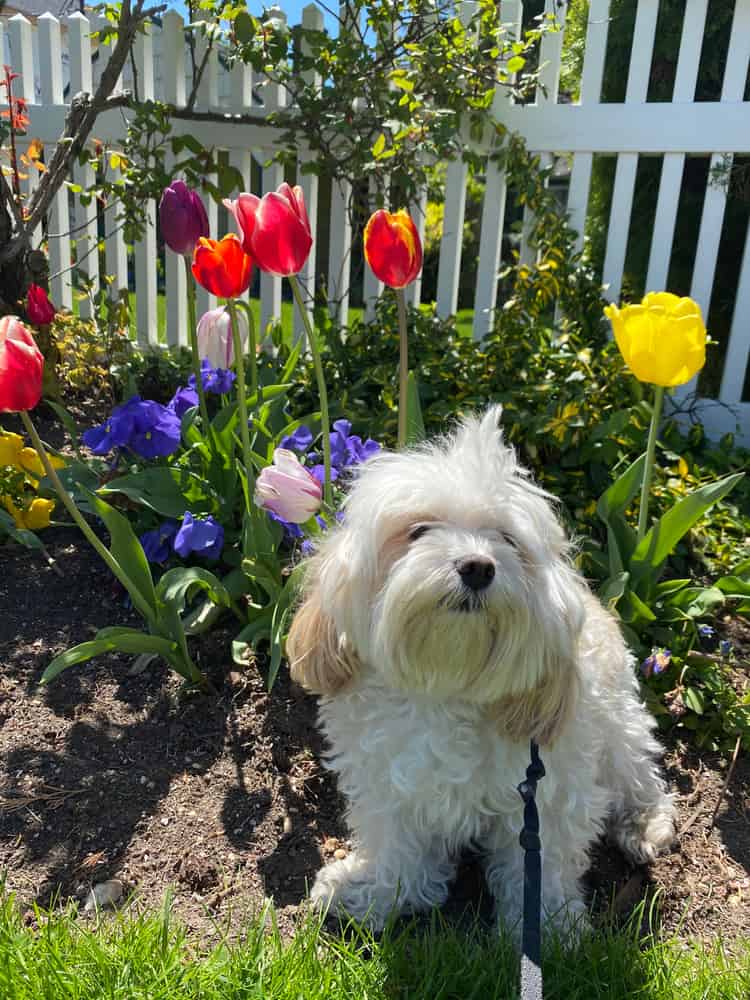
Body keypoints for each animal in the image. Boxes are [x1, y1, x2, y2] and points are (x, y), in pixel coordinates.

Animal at [288, 408, 676, 936]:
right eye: (418, 530)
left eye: (507, 539)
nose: (477, 566)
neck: (446, 686)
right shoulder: (391, 785)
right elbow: (397, 848)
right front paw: (375, 891)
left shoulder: (546, 796)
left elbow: (541, 864)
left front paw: (547, 926)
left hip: (619, 726)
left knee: (637, 771)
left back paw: (643, 821)